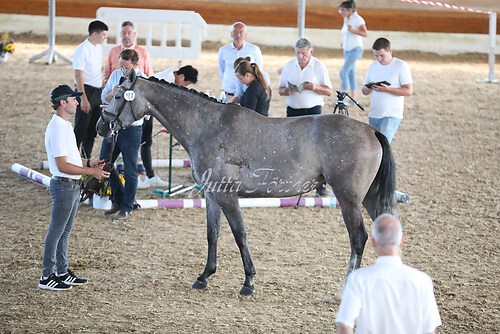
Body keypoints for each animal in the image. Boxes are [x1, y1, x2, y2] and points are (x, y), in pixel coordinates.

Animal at [95, 70, 396, 298]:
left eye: (119, 96)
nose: (101, 126)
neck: (207, 126)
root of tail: (372, 130)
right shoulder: (211, 195)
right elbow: (212, 235)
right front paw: (204, 276)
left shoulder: (228, 196)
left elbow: (240, 235)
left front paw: (248, 282)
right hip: (369, 198)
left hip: (348, 199)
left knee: (358, 238)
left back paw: (344, 291)